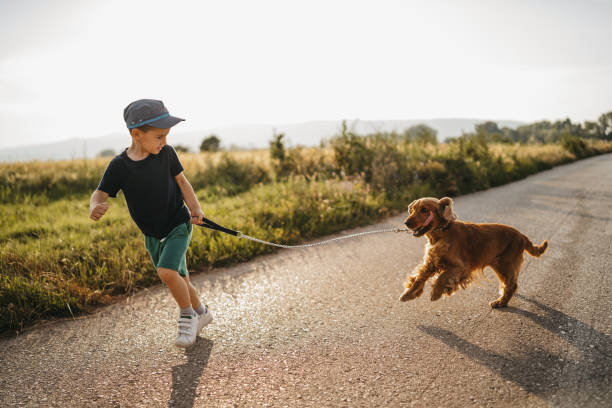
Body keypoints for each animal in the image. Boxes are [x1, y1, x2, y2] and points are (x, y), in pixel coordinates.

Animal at [400, 197, 548, 306]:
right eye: (412, 210)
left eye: (424, 210)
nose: (406, 223)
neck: (441, 234)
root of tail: (521, 236)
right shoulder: (431, 263)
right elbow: (418, 279)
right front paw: (407, 294)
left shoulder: (460, 267)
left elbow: (442, 277)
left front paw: (436, 293)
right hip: (499, 265)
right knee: (509, 284)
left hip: (505, 264)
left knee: (512, 285)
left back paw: (500, 302)